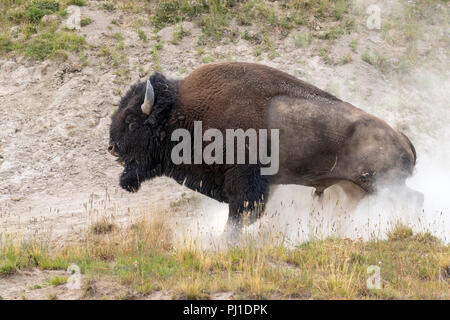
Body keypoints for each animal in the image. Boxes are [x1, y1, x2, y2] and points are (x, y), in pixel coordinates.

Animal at [108, 62, 422, 232]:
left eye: (133, 122)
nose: (112, 147)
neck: (182, 112)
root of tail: (404, 139)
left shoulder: (247, 182)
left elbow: (241, 216)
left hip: (380, 184)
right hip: (356, 187)